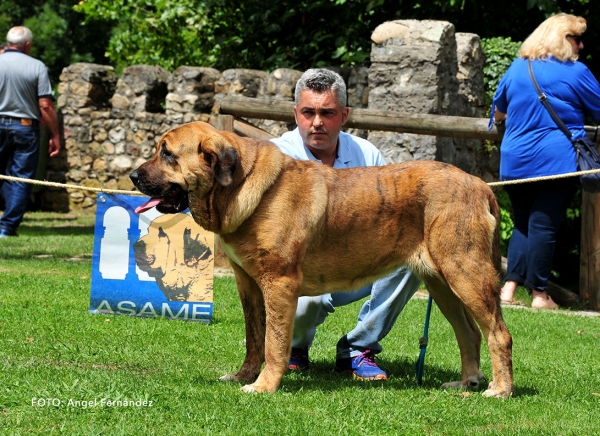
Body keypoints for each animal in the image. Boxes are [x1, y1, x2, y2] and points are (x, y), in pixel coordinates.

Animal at [129, 120, 512, 398]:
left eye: (167, 154)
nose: (133, 176)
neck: (237, 186)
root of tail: (481, 185)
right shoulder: (247, 284)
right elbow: (254, 338)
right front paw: (242, 376)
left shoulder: (279, 284)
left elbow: (273, 342)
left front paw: (263, 386)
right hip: (442, 282)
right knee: (469, 333)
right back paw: (466, 382)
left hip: (466, 274)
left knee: (499, 334)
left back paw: (499, 390)